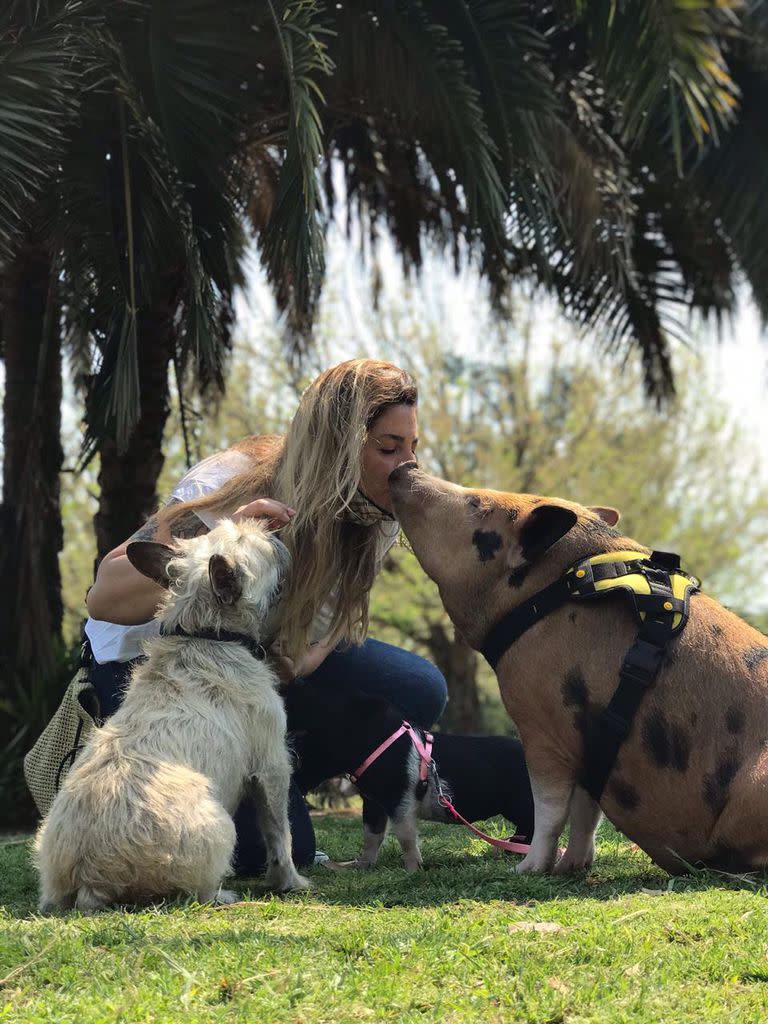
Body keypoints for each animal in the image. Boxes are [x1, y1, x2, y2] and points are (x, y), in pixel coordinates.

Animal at [33, 520, 309, 913]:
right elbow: (279, 833)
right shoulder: (272, 766)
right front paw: (290, 881)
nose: (273, 529)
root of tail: (91, 880)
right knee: (200, 893)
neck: (208, 634)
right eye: (252, 542)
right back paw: (224, 894)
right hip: (221, 828)